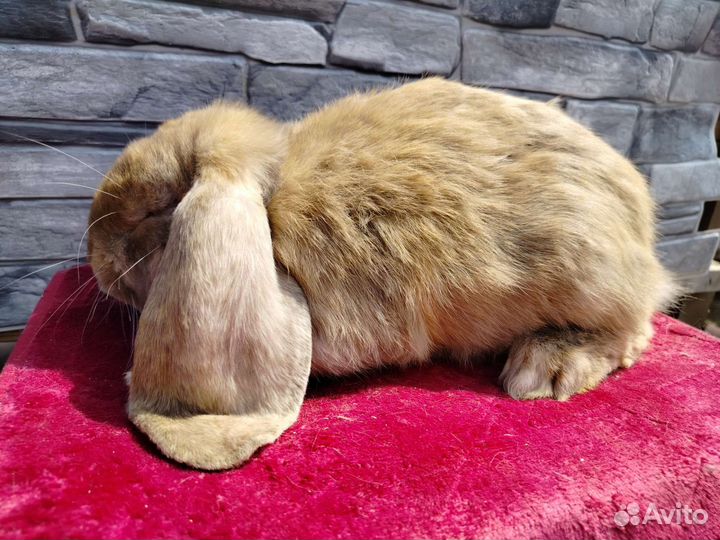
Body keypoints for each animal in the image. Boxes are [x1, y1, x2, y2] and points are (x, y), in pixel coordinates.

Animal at [87, 78, 676, 470]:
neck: (275, 204)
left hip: (587, 272)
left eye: (154, 208)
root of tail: (641, 223)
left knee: (633, 329)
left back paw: (546, 368)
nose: (95, 257)